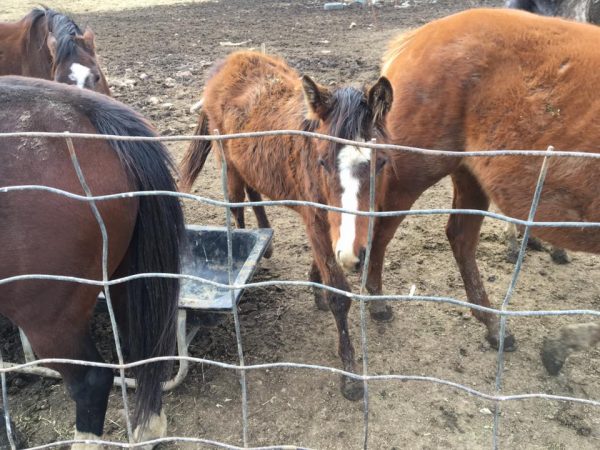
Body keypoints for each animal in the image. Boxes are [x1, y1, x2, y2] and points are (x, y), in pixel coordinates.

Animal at [178, 51, 393, 400]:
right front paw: (349, 376)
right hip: (228, 163)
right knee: (236, 203)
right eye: (322, 162)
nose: (351, 253)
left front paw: (317, 285)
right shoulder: (316, 218)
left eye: (381, 162)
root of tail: (230, 61)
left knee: (253, 191)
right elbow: (339, 295)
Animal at [334, 8, 600, 352]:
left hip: (469, 176)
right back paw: (378, 303)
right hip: (409, 176)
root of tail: (415, 39)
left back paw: (493, 325)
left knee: (459, 237)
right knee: (379, 230)